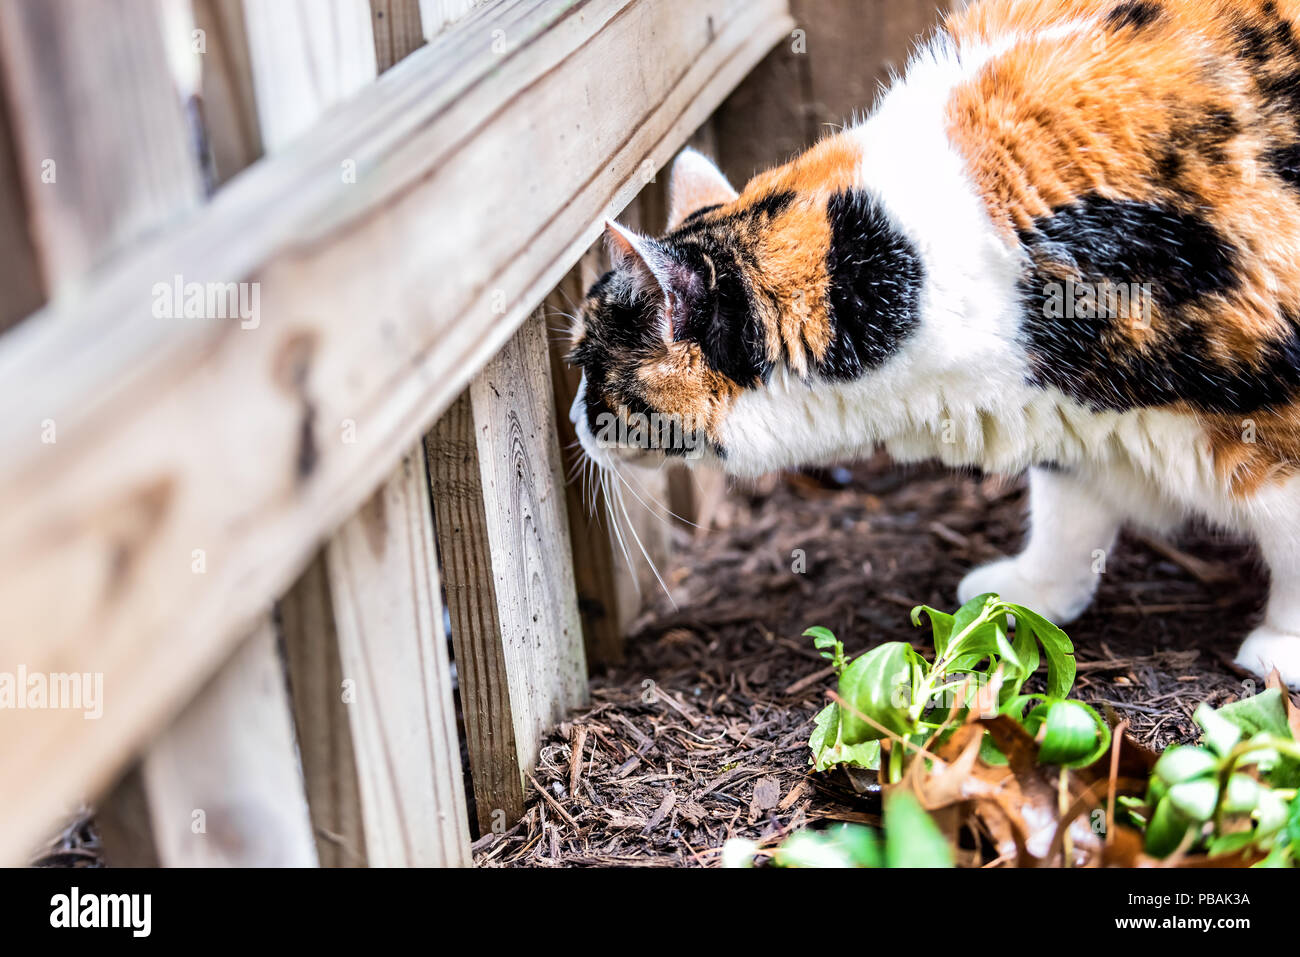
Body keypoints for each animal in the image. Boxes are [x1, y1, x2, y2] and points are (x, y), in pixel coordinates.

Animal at [569, 0, 1300, 686]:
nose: (572, 419)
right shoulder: (1065, 407)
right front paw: (1029, 597)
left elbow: (1287, 533)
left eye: (587, 364)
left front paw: (1281, 651)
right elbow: (1068, 507)